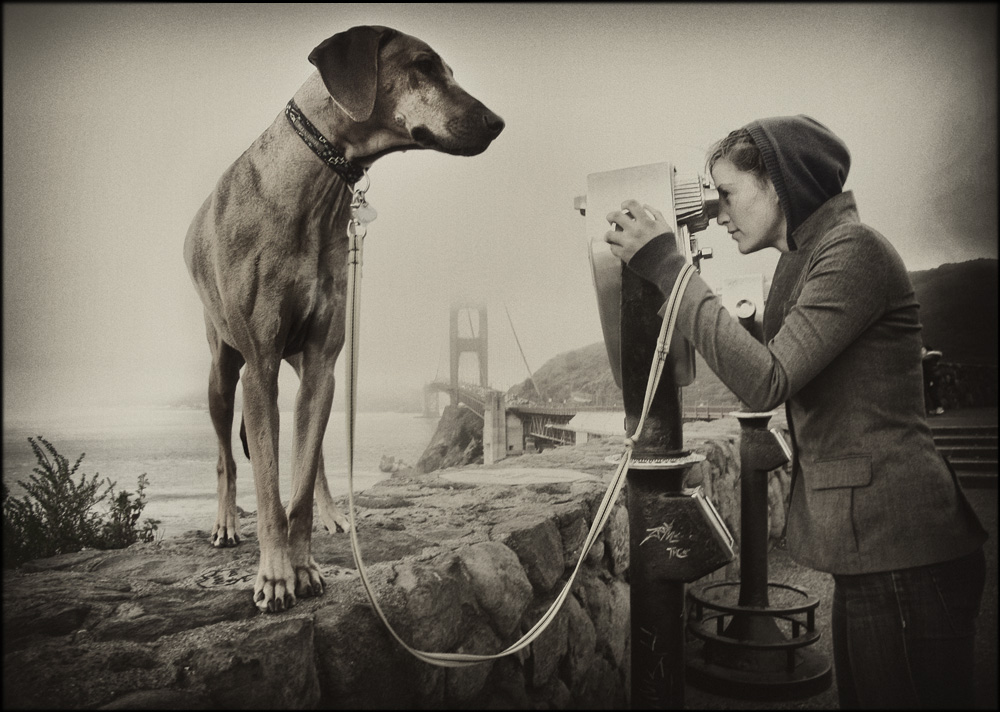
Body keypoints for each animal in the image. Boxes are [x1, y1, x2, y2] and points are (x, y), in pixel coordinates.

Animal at [184, 26, 504, 612]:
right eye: (423, 65)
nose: (497, 122)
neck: (310, 187)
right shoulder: (260, 368)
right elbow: (269, 489)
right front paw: (274, 576)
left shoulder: (322, 364)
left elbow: (301, 483)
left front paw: (304, 565)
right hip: (222, 366)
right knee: (225, 456)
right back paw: (225, 523)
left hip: (316, 375)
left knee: (315, 462)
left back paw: (334, 514)